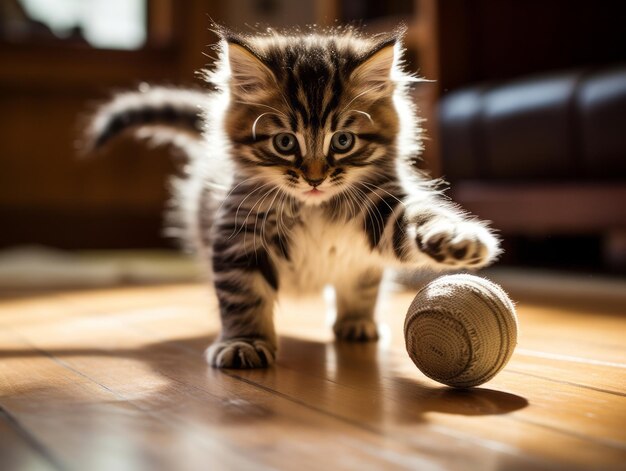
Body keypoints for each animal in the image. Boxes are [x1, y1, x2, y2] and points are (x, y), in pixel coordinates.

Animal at [86, 27, 498, 370]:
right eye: (285, 143)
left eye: (342, 141)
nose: (315, 178)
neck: (313, 206)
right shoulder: (239, 234)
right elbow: (243, 296)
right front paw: (244, 342)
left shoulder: (382, 206)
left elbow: (420, 221)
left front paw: (457, 241)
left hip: (361, 267)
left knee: (362, 286)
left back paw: (356, 322)